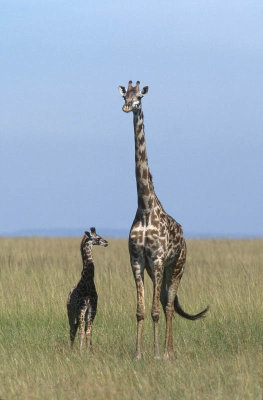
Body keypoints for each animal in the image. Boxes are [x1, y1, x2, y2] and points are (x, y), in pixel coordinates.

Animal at [119, 80, 208, 360]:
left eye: (139, 97)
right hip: (160, 270)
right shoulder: (137, 260)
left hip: (177, 266)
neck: (145, 207)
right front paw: (138, 354)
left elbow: (156, 311)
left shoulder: (157, 259)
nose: (127, 107)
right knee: (166, 302)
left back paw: (169, 353)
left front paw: (156, 354)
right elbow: (140, 311)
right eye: (125, 96)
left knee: (168, 306)